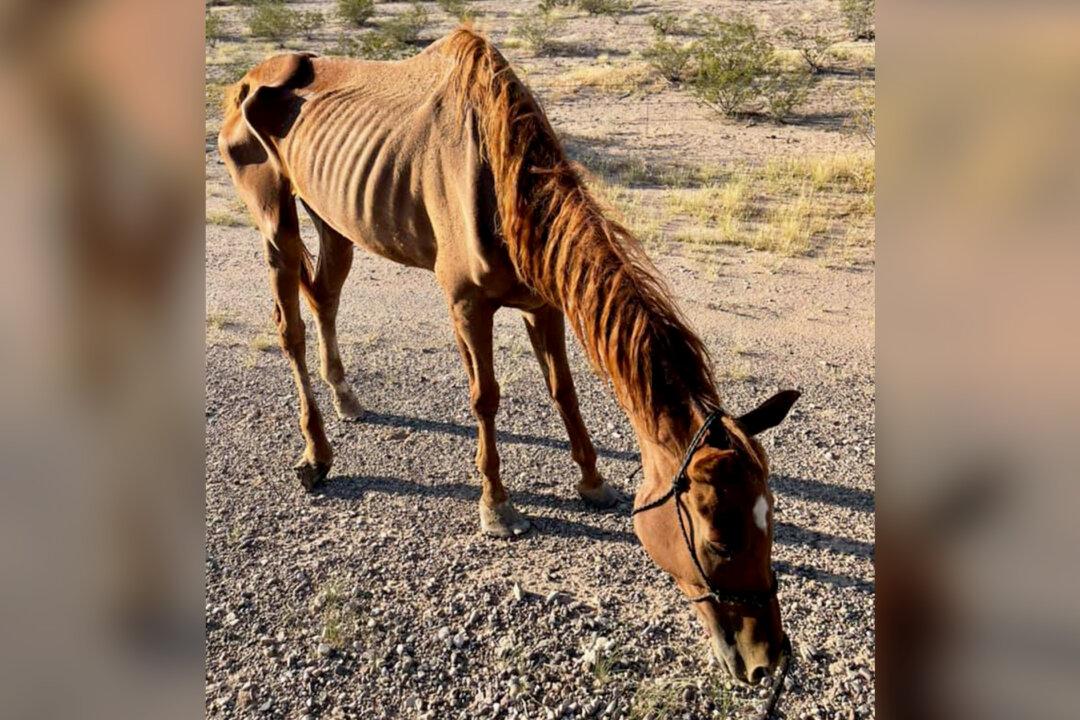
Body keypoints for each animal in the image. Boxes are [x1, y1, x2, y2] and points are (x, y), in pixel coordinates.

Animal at [217, 27, 799, 682]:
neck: (500, 180)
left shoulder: (542, 303)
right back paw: (316, 453)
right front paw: (497, 507)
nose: (768, 660)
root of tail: (245, 81)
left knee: (325, 298)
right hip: (275, 222)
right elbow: (486, 399)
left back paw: (347, 399)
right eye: (719, 541)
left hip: (334, 220)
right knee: (290, 327)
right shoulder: (468, 304)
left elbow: (564, 392)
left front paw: (592, 481)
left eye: (771, 521)